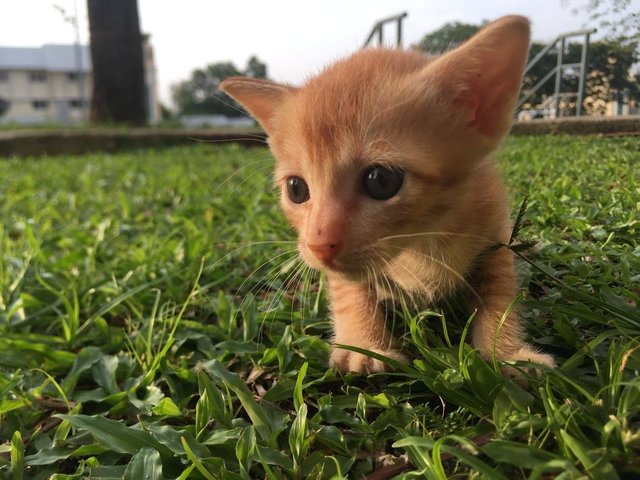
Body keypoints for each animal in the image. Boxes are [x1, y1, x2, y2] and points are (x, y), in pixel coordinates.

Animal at [221, 15, 556, 374]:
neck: (420, 242)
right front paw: (364, 345)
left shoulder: (493, 230)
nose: (318, 246)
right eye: (296, 189)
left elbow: (501, 290)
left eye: (380, 180)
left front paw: (506, 352)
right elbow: (349, 291)